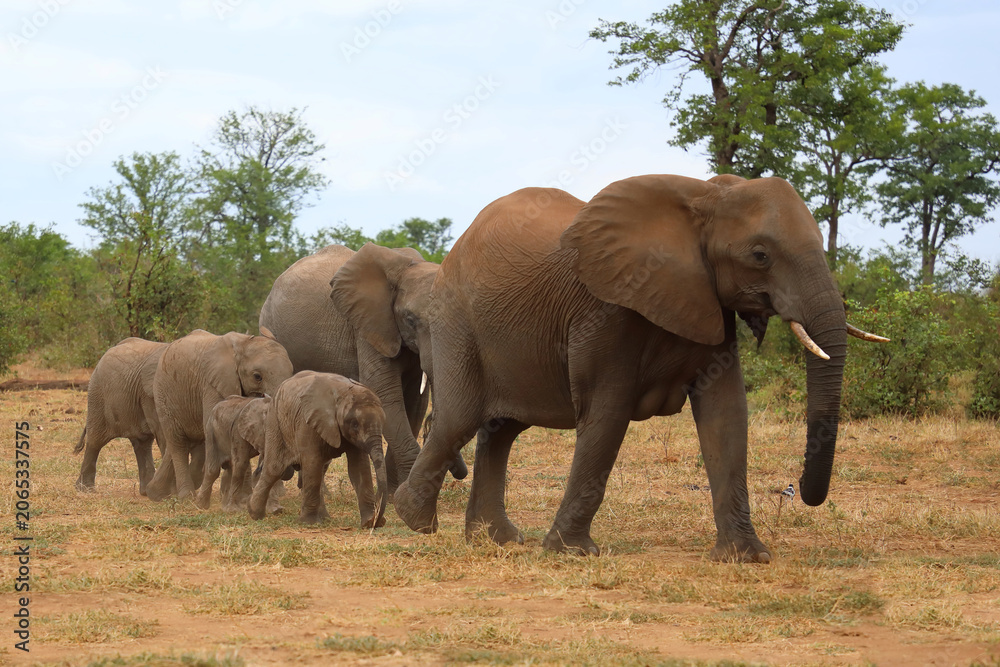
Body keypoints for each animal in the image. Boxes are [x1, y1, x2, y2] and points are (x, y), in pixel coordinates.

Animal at [74, 338, 167, 495]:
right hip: (98, 395)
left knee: (142, 443)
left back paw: (145, 492)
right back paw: (85, 489)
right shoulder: (151, 395)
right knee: (95, 441)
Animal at [145, 328, 294, 502]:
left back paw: (155, 493)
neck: (243, 343)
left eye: (292, 372)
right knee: (178, 443)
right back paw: (185, 496)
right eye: (257, 376)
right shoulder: (213, 385)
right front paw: (242, 497)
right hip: (163, 395)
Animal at [248, 370, 388, 528]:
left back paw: (325, 519)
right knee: (275, 468)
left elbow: (359, 467)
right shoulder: (307, 422)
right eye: (355, 424)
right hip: (275, 422)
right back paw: (254, 514)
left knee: (318, 471)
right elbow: (312, 462)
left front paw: (369, 522)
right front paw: (308, 523)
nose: (378, 520)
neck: (342, 393)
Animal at [258, 243, 467, 496]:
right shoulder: (368, 324)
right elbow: (385, 392)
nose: (459, 471)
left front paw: (395, 492)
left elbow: (415, 402)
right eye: (409, 319)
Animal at [393, 174, 886, 561]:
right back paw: (413, 519)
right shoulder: (605, 309)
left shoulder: (710, 305)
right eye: (760, 255)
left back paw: (496, 540)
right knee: (459, 419)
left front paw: (746, 557)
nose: (797, 490)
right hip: (456, 322)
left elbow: (726, 414)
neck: (704, 196)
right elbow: (607, 412)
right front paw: (572, 553)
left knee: (500, 431)